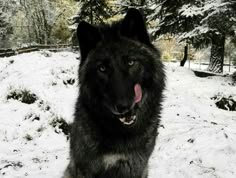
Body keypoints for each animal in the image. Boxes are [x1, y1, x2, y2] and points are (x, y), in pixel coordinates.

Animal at [63, 8, 165, 178]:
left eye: (130, 62)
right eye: (102, 68)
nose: (124, 107)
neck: (122, 134)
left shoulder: (137, 168)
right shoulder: (84, 168)